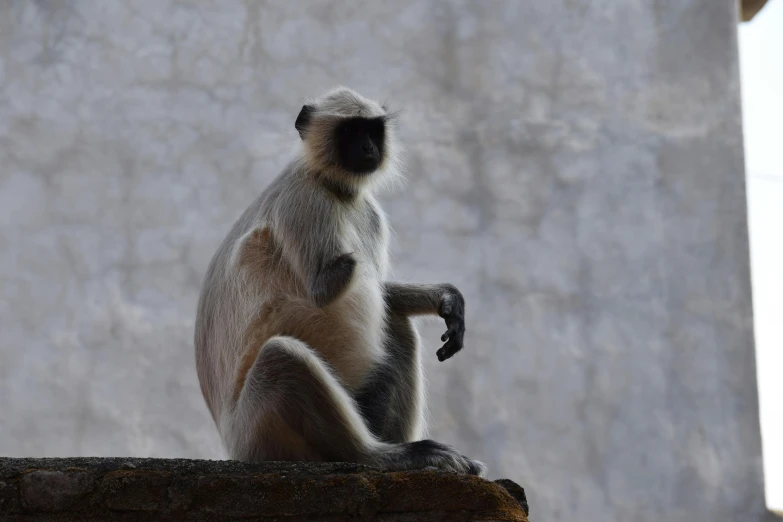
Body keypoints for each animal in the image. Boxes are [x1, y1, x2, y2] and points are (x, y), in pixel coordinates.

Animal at [194, 86, 486, 476]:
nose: (367, 148)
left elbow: (378, 289)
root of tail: (232, 447)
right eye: (350, 131)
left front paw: (446, 298)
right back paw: (385, 456)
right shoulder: (304, 199)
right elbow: (324, 290)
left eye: (372, 130)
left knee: (394, 322)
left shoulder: (369, 213)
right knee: (281, 356)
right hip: (256, 433)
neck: (338, 191)